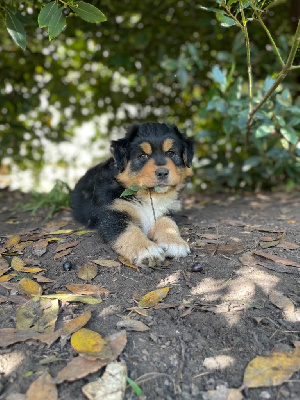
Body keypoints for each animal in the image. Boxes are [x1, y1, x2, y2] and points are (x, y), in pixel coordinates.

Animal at [72, 121, 195, 266]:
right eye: (142, 156)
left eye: (171, 153)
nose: (162, 173)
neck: (149, 195)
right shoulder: (113, 215)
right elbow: (130, 232)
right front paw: (146, 250)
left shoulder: (166, 211)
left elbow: (168, 224)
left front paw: (175, 242)